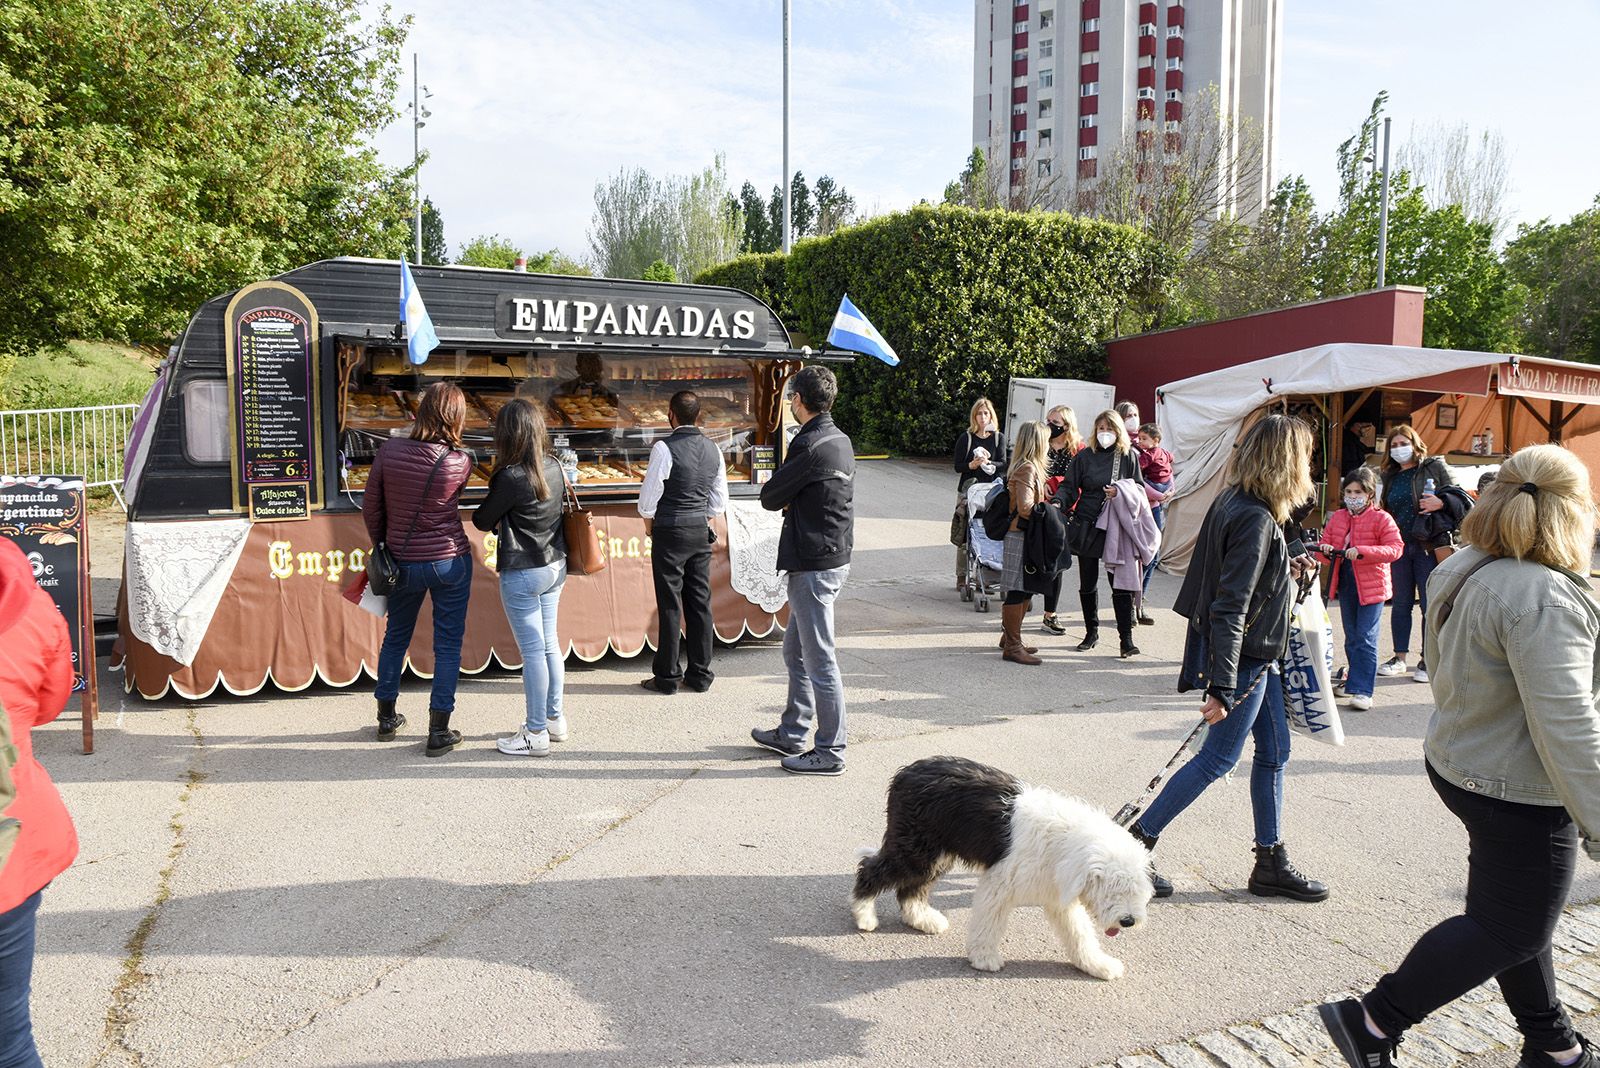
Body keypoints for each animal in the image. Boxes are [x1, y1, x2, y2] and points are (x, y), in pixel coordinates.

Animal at [851, 754, 1152, 978]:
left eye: (1138, 890)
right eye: (1112, 887)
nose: (1128, 921)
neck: (1065, 844)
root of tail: (907, 772)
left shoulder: (1058, 894)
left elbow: (1079, 933)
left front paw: (1097, 965)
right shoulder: (1001, 881)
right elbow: (989, 922)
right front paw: (984, 957)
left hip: (935, 853)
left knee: (911, 889)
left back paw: (922, 918)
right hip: (915, 850)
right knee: (871, 868)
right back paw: (864, 914)